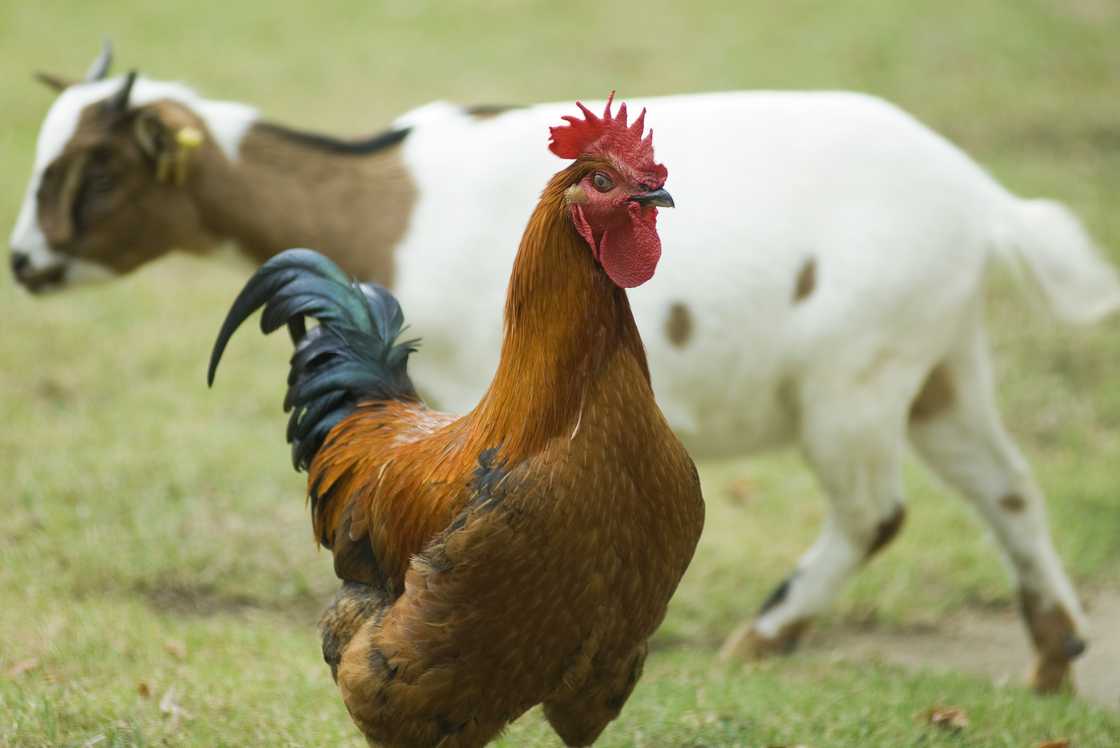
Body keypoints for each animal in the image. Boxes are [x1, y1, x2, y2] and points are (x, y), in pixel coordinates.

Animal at [12, 44, 1120, 693]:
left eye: (98, 171)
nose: (22, 263)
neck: (384, 197)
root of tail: (981, 197)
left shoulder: (467, 395)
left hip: (856, 374)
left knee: (872, 510)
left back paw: (765, 637)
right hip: (942, 361)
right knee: (1008, 486)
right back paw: (1055, 658)